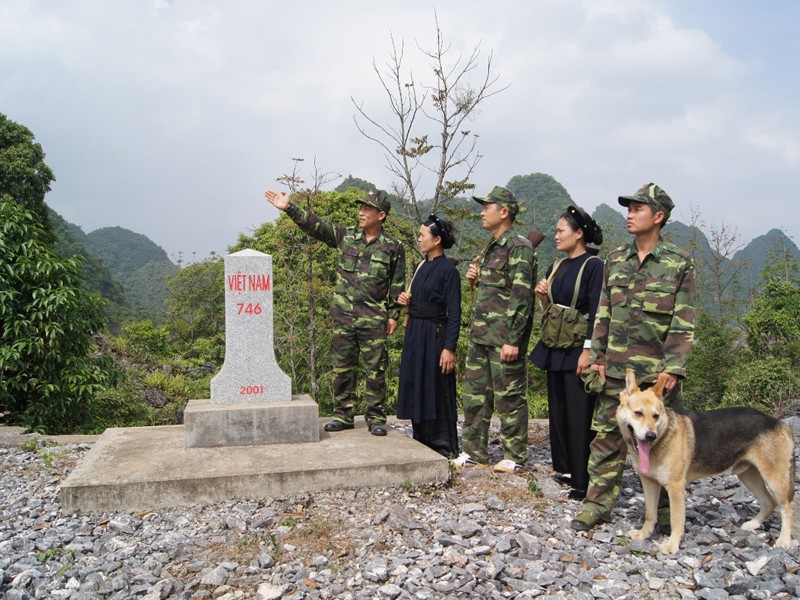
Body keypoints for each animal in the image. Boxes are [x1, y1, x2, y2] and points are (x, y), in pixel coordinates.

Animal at [616, 368, 792, 556]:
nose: (651, 436)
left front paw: (672, 545)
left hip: (774, 479)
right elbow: (650, 514)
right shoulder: (649, 483)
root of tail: (778, 422)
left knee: (787, 508)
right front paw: (643, 534)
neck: (662, 437)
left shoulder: (675, 487)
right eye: (638, 413)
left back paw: (784, 540)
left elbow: (676, 520)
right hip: (749, 476)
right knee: (769, 502)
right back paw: (752, 524)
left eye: (656, 416)